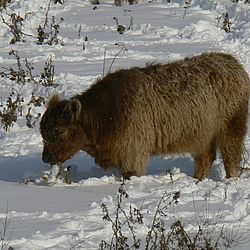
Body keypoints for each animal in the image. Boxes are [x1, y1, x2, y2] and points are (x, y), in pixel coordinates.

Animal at [40, 52, 250, 180]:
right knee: (205, 158)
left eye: (60, 130)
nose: (46, 157)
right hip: (204, 134)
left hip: (232, 127)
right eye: (43, 133)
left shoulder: (133, 151)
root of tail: (234, 64)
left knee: (231, 157)